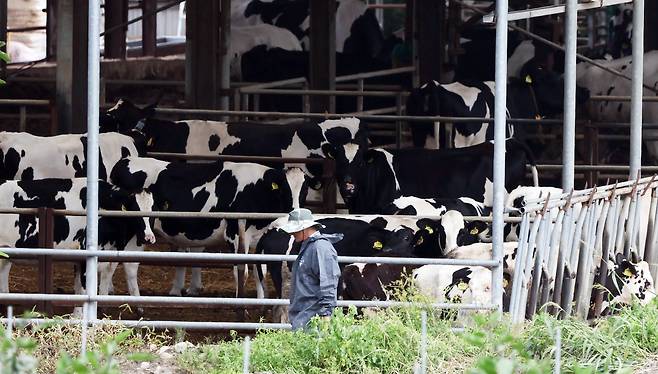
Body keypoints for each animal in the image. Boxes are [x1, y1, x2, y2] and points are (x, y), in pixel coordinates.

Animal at [109, 156, 304, 296]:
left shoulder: (260, 238)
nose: (295, 212)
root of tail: (124, 160)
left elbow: (259, 272)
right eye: (283, 190)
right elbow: (240, 272)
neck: (255, 190)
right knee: (127, 264)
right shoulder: (234, 234)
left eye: (304, 189)